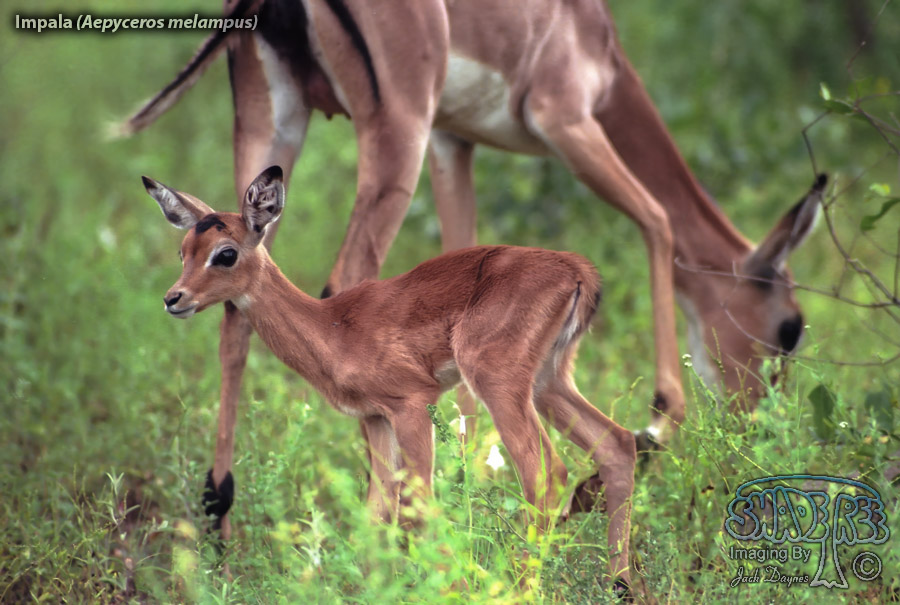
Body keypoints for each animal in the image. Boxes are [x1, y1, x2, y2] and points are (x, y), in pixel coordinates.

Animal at [122, 0, 822, 544]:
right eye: (790, 328)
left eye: (222, 253)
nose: (758, 419)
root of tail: (578, 275)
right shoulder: (553, 122)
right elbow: (659, 221)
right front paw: (662, 417)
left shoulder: (459, 146)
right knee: (581, 459)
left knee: (562, 470)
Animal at [143, 165, 637, 592]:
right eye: (183, 251)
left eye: (225, 253)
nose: (173, 298)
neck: (334, 327)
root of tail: (578, 270)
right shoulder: (375, 418)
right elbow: (376, 514)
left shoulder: (412, 404)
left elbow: (419, 505)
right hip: (549, 381)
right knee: (617, 444)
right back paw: (620, 585)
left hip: (499, 383)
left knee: (547, 476)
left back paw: (517, 586)